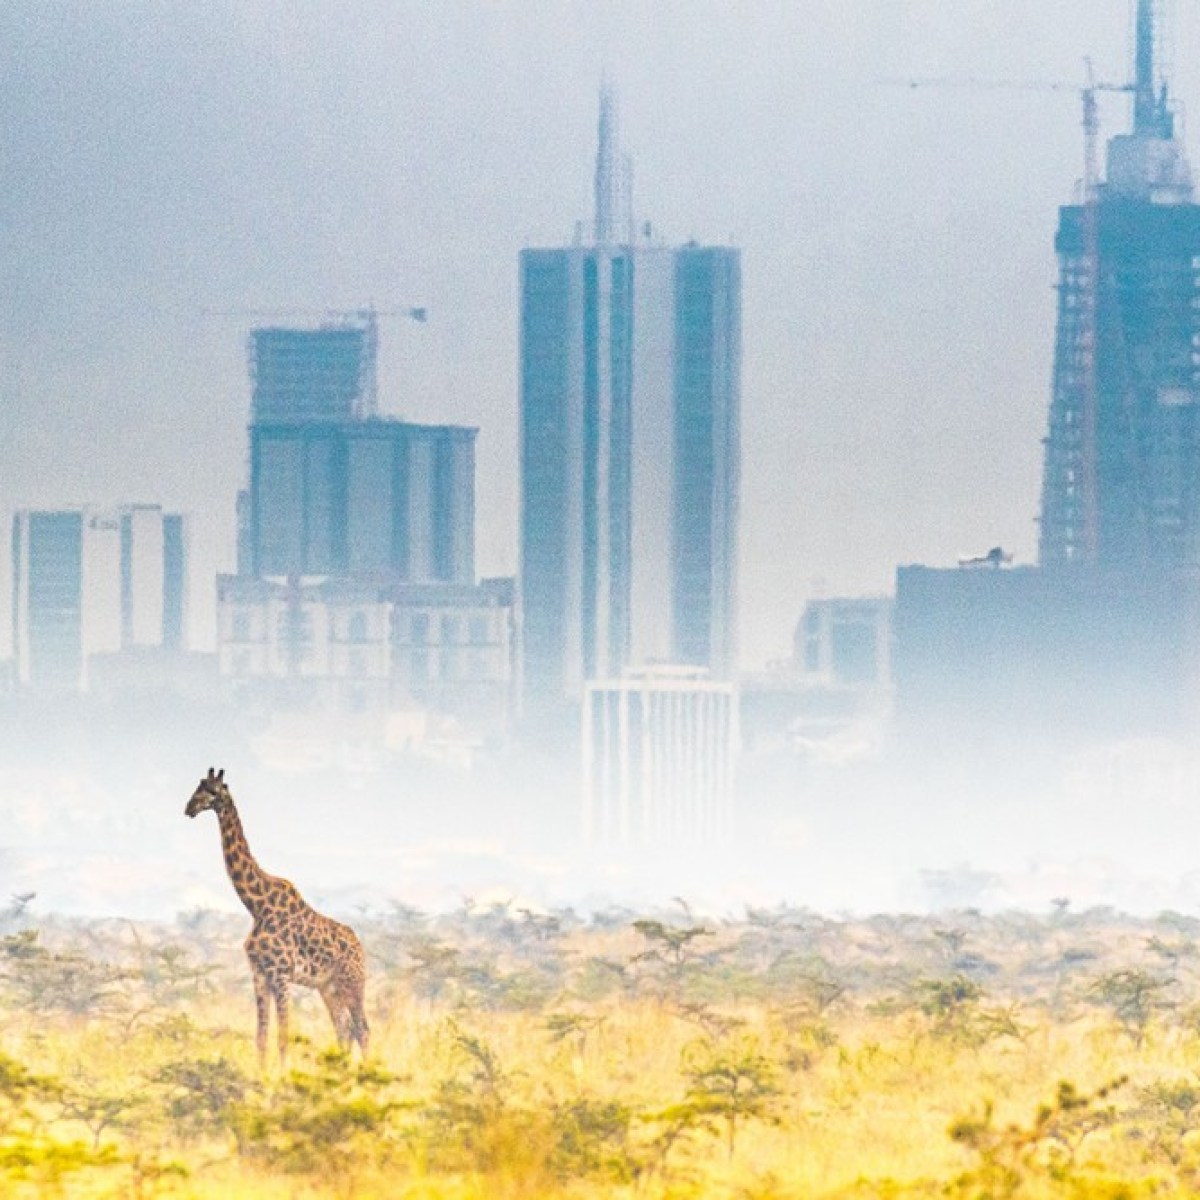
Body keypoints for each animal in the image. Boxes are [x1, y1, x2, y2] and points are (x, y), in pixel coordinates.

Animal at [184, 767, 369, 1067]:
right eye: (197, 786)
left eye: (212, 790)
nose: (189, 808)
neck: (256, 906)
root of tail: (359, 946)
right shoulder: (259, 974)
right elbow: (261, 1038)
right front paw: (262, 1075)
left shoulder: (281, 974)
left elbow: (283, 1037)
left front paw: (282, 1076)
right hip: (328, 987)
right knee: (344, 1029)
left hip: (352, 981)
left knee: (362, 1029)